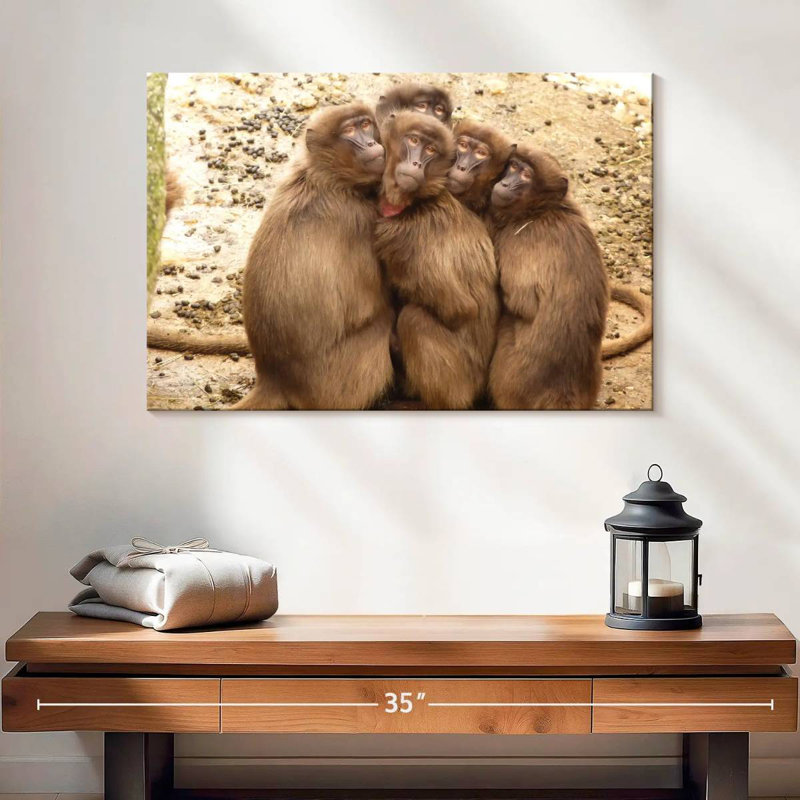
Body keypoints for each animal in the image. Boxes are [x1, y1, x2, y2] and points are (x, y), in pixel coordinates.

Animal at [230, 102, 394, 410]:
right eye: (350, 130)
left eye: (366, 124)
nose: (370, 143)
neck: (326, 178)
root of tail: (275, 377)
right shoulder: (360, 219)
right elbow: (373, 303)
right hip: (338, 384)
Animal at [374, 111, 499, 410]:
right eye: (414, 140)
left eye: (430, 150)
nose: (416, 162)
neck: (416, 203)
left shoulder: (407, 238)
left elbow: (459, 309)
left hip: (460, 383)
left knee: (414, 319)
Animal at [487, 145, 610, 410]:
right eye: (513, 166)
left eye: (526, 175)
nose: (506, 183)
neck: (542, 210)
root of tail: (561, 391)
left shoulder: (519, 239)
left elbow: (521, 302)